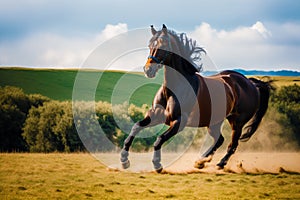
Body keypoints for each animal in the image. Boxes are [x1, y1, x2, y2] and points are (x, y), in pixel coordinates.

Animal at [120, 24, 272, 172]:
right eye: (149, 45)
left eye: (163, 45)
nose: (148, 70)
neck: (172, 90)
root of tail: (251, 83)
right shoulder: (156, 116)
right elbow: (136, 127)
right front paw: (124, 160)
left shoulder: (179, 122)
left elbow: (159, 139)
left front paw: (157, 164)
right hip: (215, 122)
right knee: (219, 140)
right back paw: (201, 161)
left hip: (237, 122)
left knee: (232, 144)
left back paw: (220, 163)